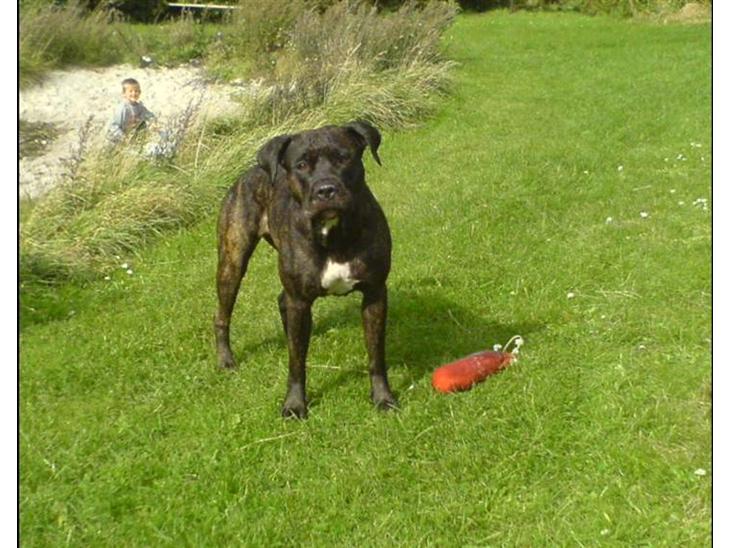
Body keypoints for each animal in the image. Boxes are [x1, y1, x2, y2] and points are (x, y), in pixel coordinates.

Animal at [214, 121, 398, 418]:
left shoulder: (374, 294)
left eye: (343, 158)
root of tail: (251, 171)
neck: (334, 232)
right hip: (232, 262)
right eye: (301, 165)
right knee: (222, 314)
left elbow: (376, 353)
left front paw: (383, 397)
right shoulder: (299, 300)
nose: (325, 189)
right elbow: (296, 361)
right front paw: (294, 404)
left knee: (281, 301)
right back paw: (226, 359)